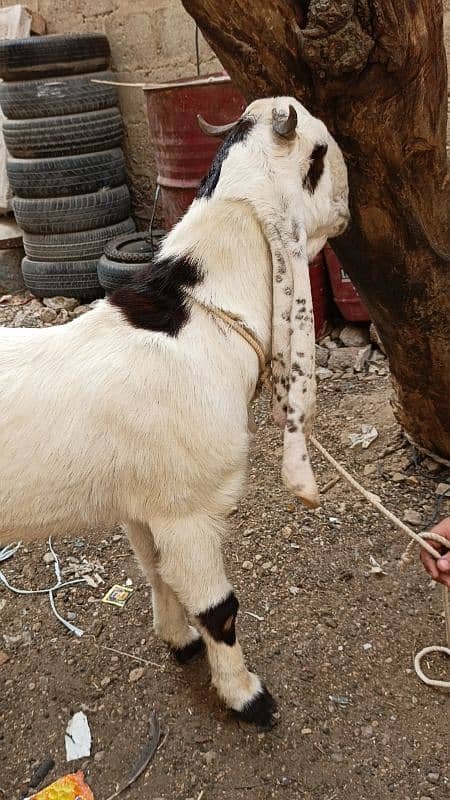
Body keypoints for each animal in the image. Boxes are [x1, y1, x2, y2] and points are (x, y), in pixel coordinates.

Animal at [0, 97, 348, 728]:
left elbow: (155, 570)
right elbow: (219, 607)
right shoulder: (186, 508)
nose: (345, 211)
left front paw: (178, 641)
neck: (204, 317)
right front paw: (246, 696)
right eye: (318, 154)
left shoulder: (142, 502)